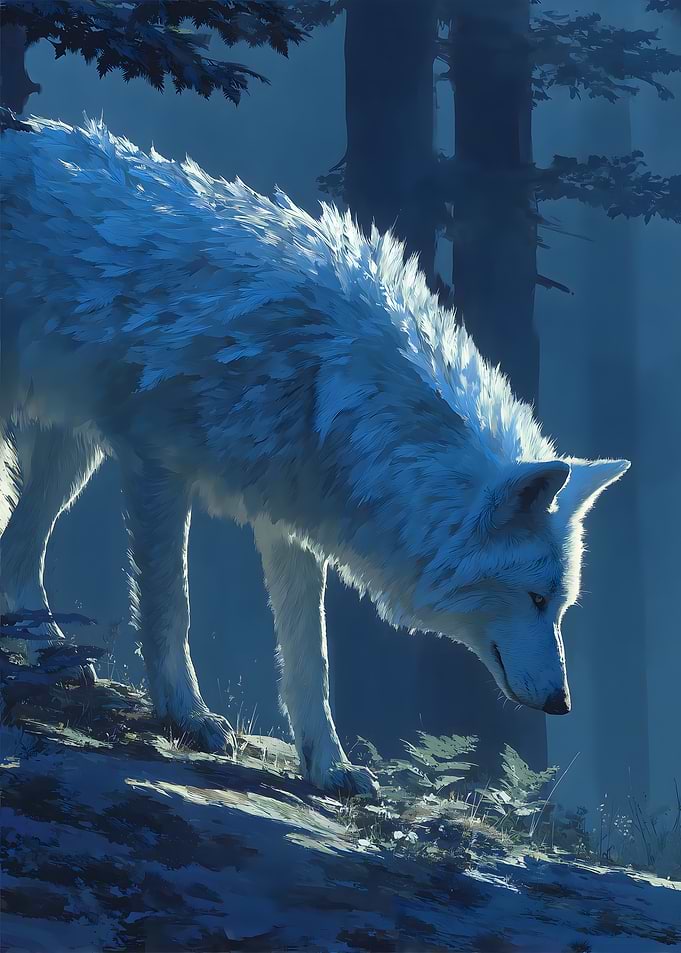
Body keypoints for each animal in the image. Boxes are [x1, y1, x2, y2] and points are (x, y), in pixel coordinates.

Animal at [0, 116, 628, 796]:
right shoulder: (156, 469)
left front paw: (330, 766)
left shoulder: (288, 520)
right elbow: (174, 606)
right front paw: (187, 716)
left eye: (561, 606)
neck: (333, 381)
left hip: (72, 454)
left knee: (17, 552)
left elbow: (312, 658)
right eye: (536, 599)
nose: (563, 704)